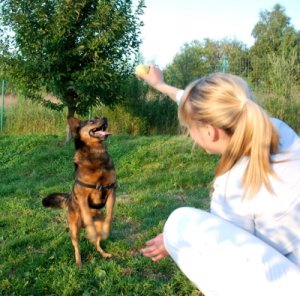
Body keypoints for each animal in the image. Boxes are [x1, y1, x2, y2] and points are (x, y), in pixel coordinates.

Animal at [41, 115, 116, 266]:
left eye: (100, 117)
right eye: (92, 120)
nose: (105, 118)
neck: (96, 154)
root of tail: (69, 198)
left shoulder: (112, 191)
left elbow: (110, 216)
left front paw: (106, 231)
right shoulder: (82, 197)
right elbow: (87, 214)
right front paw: (90, 230)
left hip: (98, 224)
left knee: (96, 243)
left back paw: (104, 253)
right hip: (74, 230)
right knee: (77, 247)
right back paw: (79, 262)